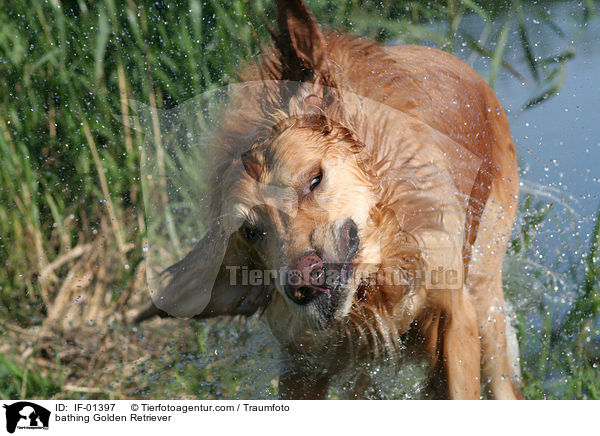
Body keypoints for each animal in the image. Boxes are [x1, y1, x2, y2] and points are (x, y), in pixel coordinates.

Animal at [136, 0, 520, 400]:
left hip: (485, 292)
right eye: (251, 232)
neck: (376, 283)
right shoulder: (304, 362)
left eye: (314, 180)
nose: (302, 283)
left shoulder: (455, 314)